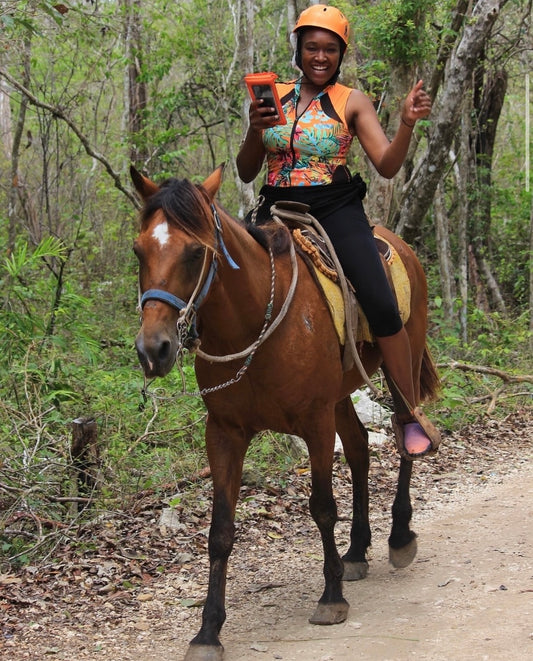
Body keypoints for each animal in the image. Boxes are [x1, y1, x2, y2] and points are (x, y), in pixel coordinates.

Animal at [130, 165, 440, 661]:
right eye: (139, 251)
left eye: (196, 252)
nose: (153, 349)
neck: (253, 321)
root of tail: (398, 243)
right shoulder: (224, 433)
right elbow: (220, 531)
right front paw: (207, 631)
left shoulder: (314, 423)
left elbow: (322, 507)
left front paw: (331, 597)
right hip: (340, 396)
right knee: (359, 449)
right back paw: (357, 551)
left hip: (401, 360)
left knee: (406, 431)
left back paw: (398, 537)